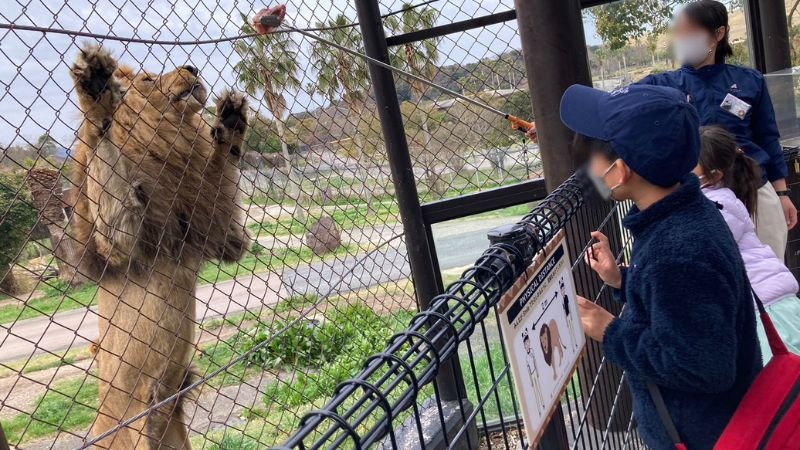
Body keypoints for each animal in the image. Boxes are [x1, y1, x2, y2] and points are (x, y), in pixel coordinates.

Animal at [70, 44, 250, 448]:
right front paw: (95, 87)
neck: (167, 144)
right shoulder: (117, 242)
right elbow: (100, 148)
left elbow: (219, 172)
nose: (192, 66)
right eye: (149, 79)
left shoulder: (219, 232)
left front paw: (230, 122)